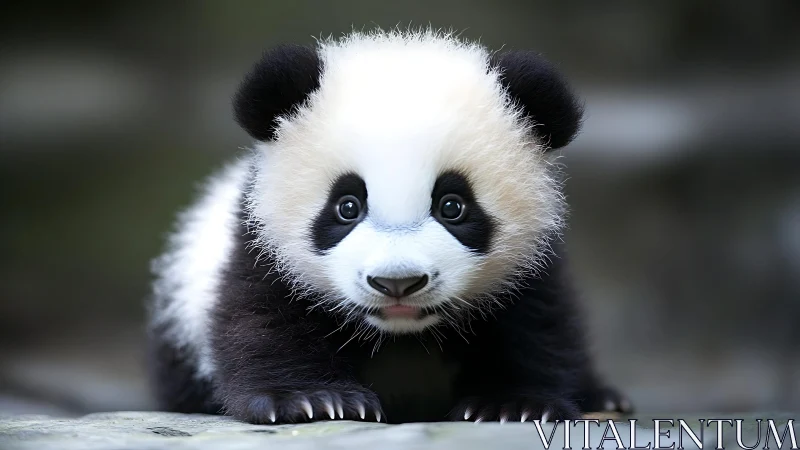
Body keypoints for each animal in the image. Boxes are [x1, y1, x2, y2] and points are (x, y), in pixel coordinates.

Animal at [147, 28, 631, 425]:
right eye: (347, 206)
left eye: (452, 206)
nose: (397, 283)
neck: (401, 337)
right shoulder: (262, 247)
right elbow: (261, 319)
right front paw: (310, 399)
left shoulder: (531, 262)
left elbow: (537, 324)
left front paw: (513, 404)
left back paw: (605, 399)